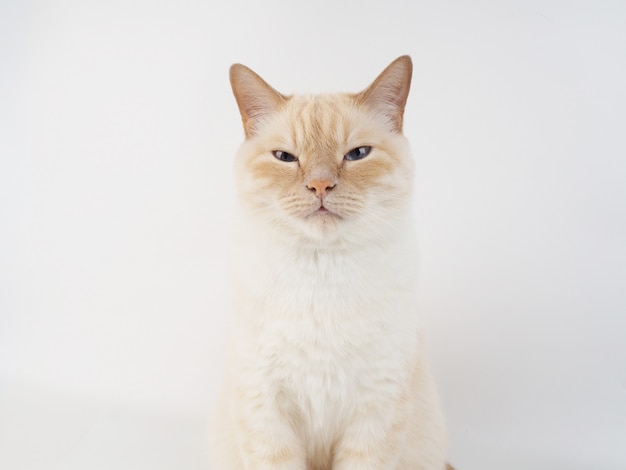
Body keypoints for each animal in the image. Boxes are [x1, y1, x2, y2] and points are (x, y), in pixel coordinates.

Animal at [212, 56, 450, 470]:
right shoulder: (265, 409)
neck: (321, 269)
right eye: (285, 158)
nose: (320, 185)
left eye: (357, 155)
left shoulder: (376, 409)